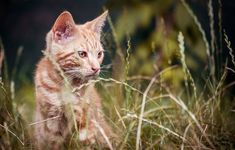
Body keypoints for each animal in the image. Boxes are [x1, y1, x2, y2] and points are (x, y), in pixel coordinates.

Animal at [34, 10, 114, 149]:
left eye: (99, 54)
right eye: (82, 54)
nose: (96, 68)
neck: (65, 85)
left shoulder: (85, 121)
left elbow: (86, 141)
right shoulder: (51, 123)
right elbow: (53, 143)